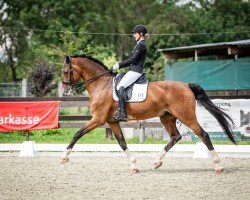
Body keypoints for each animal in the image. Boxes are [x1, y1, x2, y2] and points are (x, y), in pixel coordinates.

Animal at [61, 54, 236, 173]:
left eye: (65, 70)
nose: (64, 92)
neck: (102, 85)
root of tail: (186, 85)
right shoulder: (112, 122)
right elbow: (122, 143)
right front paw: (134, 165)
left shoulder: (98, 119)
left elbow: (77, 133)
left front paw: (64, 157)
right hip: (167, 117)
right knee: (175, 136)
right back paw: (157, 161)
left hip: (186, 116)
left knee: (204, 135)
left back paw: (218, 166)